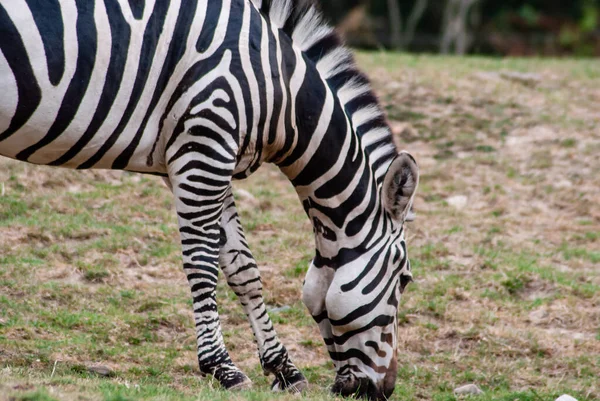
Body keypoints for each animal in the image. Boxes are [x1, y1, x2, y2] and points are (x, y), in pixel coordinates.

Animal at [0, 0, 420, 398]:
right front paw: (222, 367)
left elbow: (243, 268)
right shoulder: (204, 146)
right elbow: (202, 263)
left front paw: (283, 369)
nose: (385, 391)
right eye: (404, 280)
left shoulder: (207, 158)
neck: (278, 91)